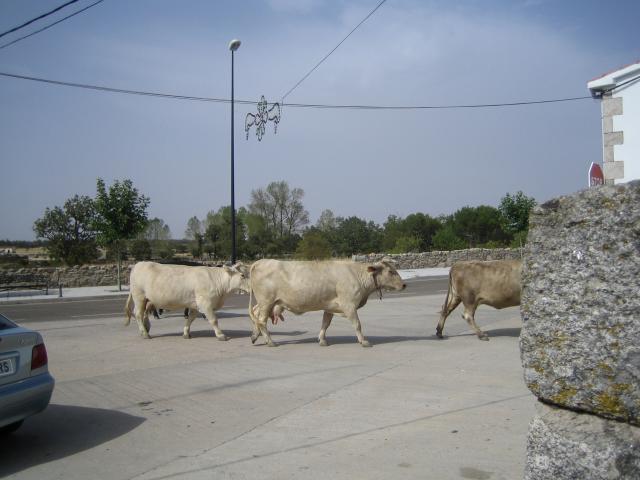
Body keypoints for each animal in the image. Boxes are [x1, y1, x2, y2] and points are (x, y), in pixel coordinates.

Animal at [248, 259, 406, 347]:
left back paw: (255, 336)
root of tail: (260, 261)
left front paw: (322, 340)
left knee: (255, 314)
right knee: (261, 320)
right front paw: (363, 341)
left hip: (267, 303)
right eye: (391, 271)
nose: (404, 285)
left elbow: (325, 324)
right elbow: (357, 324)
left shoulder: (330, 306)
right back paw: (270, 342)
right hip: (266, 301)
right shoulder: (349, 305)